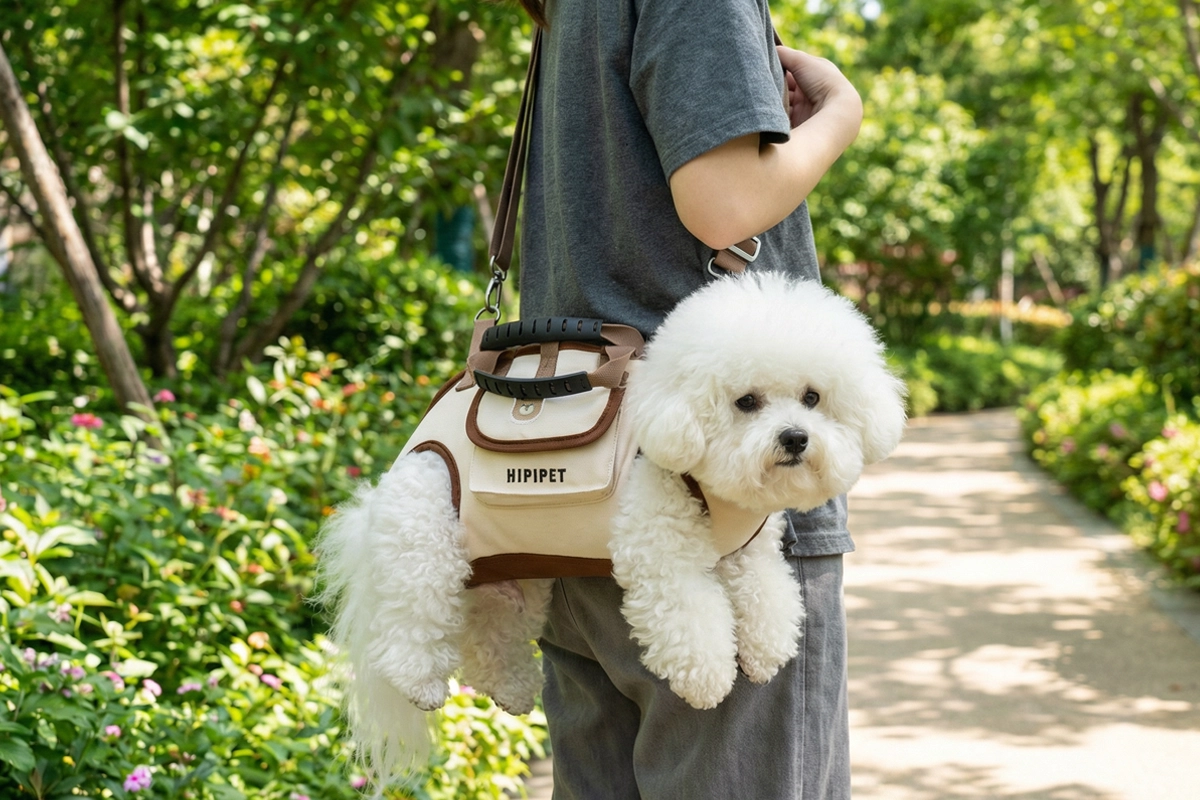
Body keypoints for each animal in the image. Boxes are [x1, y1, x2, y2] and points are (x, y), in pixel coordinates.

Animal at [316, 272, 907, 780]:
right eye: (746, 402)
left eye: (812, 398)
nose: (795, 438)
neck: (711, 486)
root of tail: (405, 461)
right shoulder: (660, 553)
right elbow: (690, 616)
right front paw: (709, 678)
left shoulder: (750, 551)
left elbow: (768, 594)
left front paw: (765, 650)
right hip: (426, 541)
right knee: (410, 621)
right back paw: (418, 680)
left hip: (512, 577)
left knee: (490, 634)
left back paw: (511, 688)